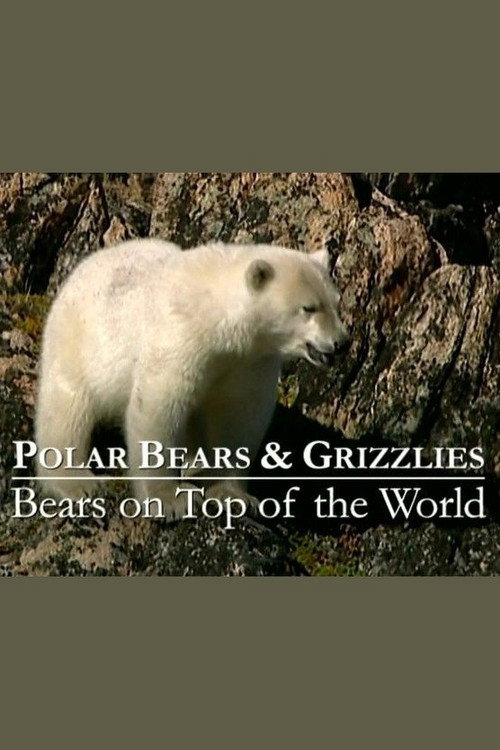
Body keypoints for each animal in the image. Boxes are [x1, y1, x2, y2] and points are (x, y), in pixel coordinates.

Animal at [35, 239, 349, 518]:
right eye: (308, 308)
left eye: (336, 303)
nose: (341, 343)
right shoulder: (182, 338)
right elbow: (159, 406)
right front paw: (171, 501)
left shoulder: (249, 362)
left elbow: (238, 417)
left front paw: (232, 497)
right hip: (79, 343)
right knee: (67, 409)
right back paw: (76, 482)